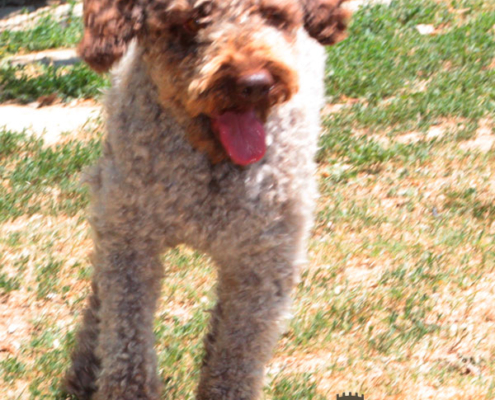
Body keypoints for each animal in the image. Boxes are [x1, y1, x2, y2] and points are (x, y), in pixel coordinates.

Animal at [65, 0, 348, 400]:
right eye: (191, 21)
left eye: (275, 16)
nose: (255, 84)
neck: (211, 162)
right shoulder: (131, 239)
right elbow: (126, 337)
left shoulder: (264, 260)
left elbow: (237, 354)